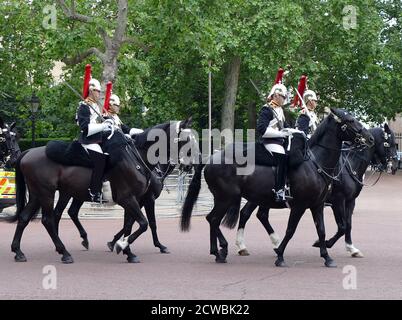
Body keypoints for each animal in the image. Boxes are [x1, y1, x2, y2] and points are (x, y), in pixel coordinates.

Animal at [2, 119, 192, 264]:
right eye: (185, 140)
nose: (190, 166)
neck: (137, 158)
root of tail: (27, 152)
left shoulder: (134, 199)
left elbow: (130, 225)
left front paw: (126, 250)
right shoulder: (132, 199)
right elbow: (145, 223)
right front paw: (122, 246)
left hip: (39, 195)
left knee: (25, 217)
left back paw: (19, 251)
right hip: (47, 194)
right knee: (49, 219)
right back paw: (64, 253)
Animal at [181, 109, 372, 268]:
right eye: (350, 120)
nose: (369, 138)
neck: (316, 164)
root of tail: (211, 158)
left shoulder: (318, 205)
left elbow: (323, 230)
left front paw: (327, 257)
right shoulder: (302, 205)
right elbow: (291, 230)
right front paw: (280, 255)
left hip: (230, 198)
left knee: (215, 218)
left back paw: (221, 251)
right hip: (226, 198)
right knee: (215, 219)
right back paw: (222, 250)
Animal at [234, 124, 398, 258]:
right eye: (388, 143)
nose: (395, 166)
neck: (350, 165)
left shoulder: (350, 201)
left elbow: (348, 225)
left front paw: (351, 248)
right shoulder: (338, 200)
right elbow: (342, 226)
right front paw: (323, 243)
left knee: (254, 214)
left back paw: (266, 244)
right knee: (250, 214)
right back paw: (251, 245)